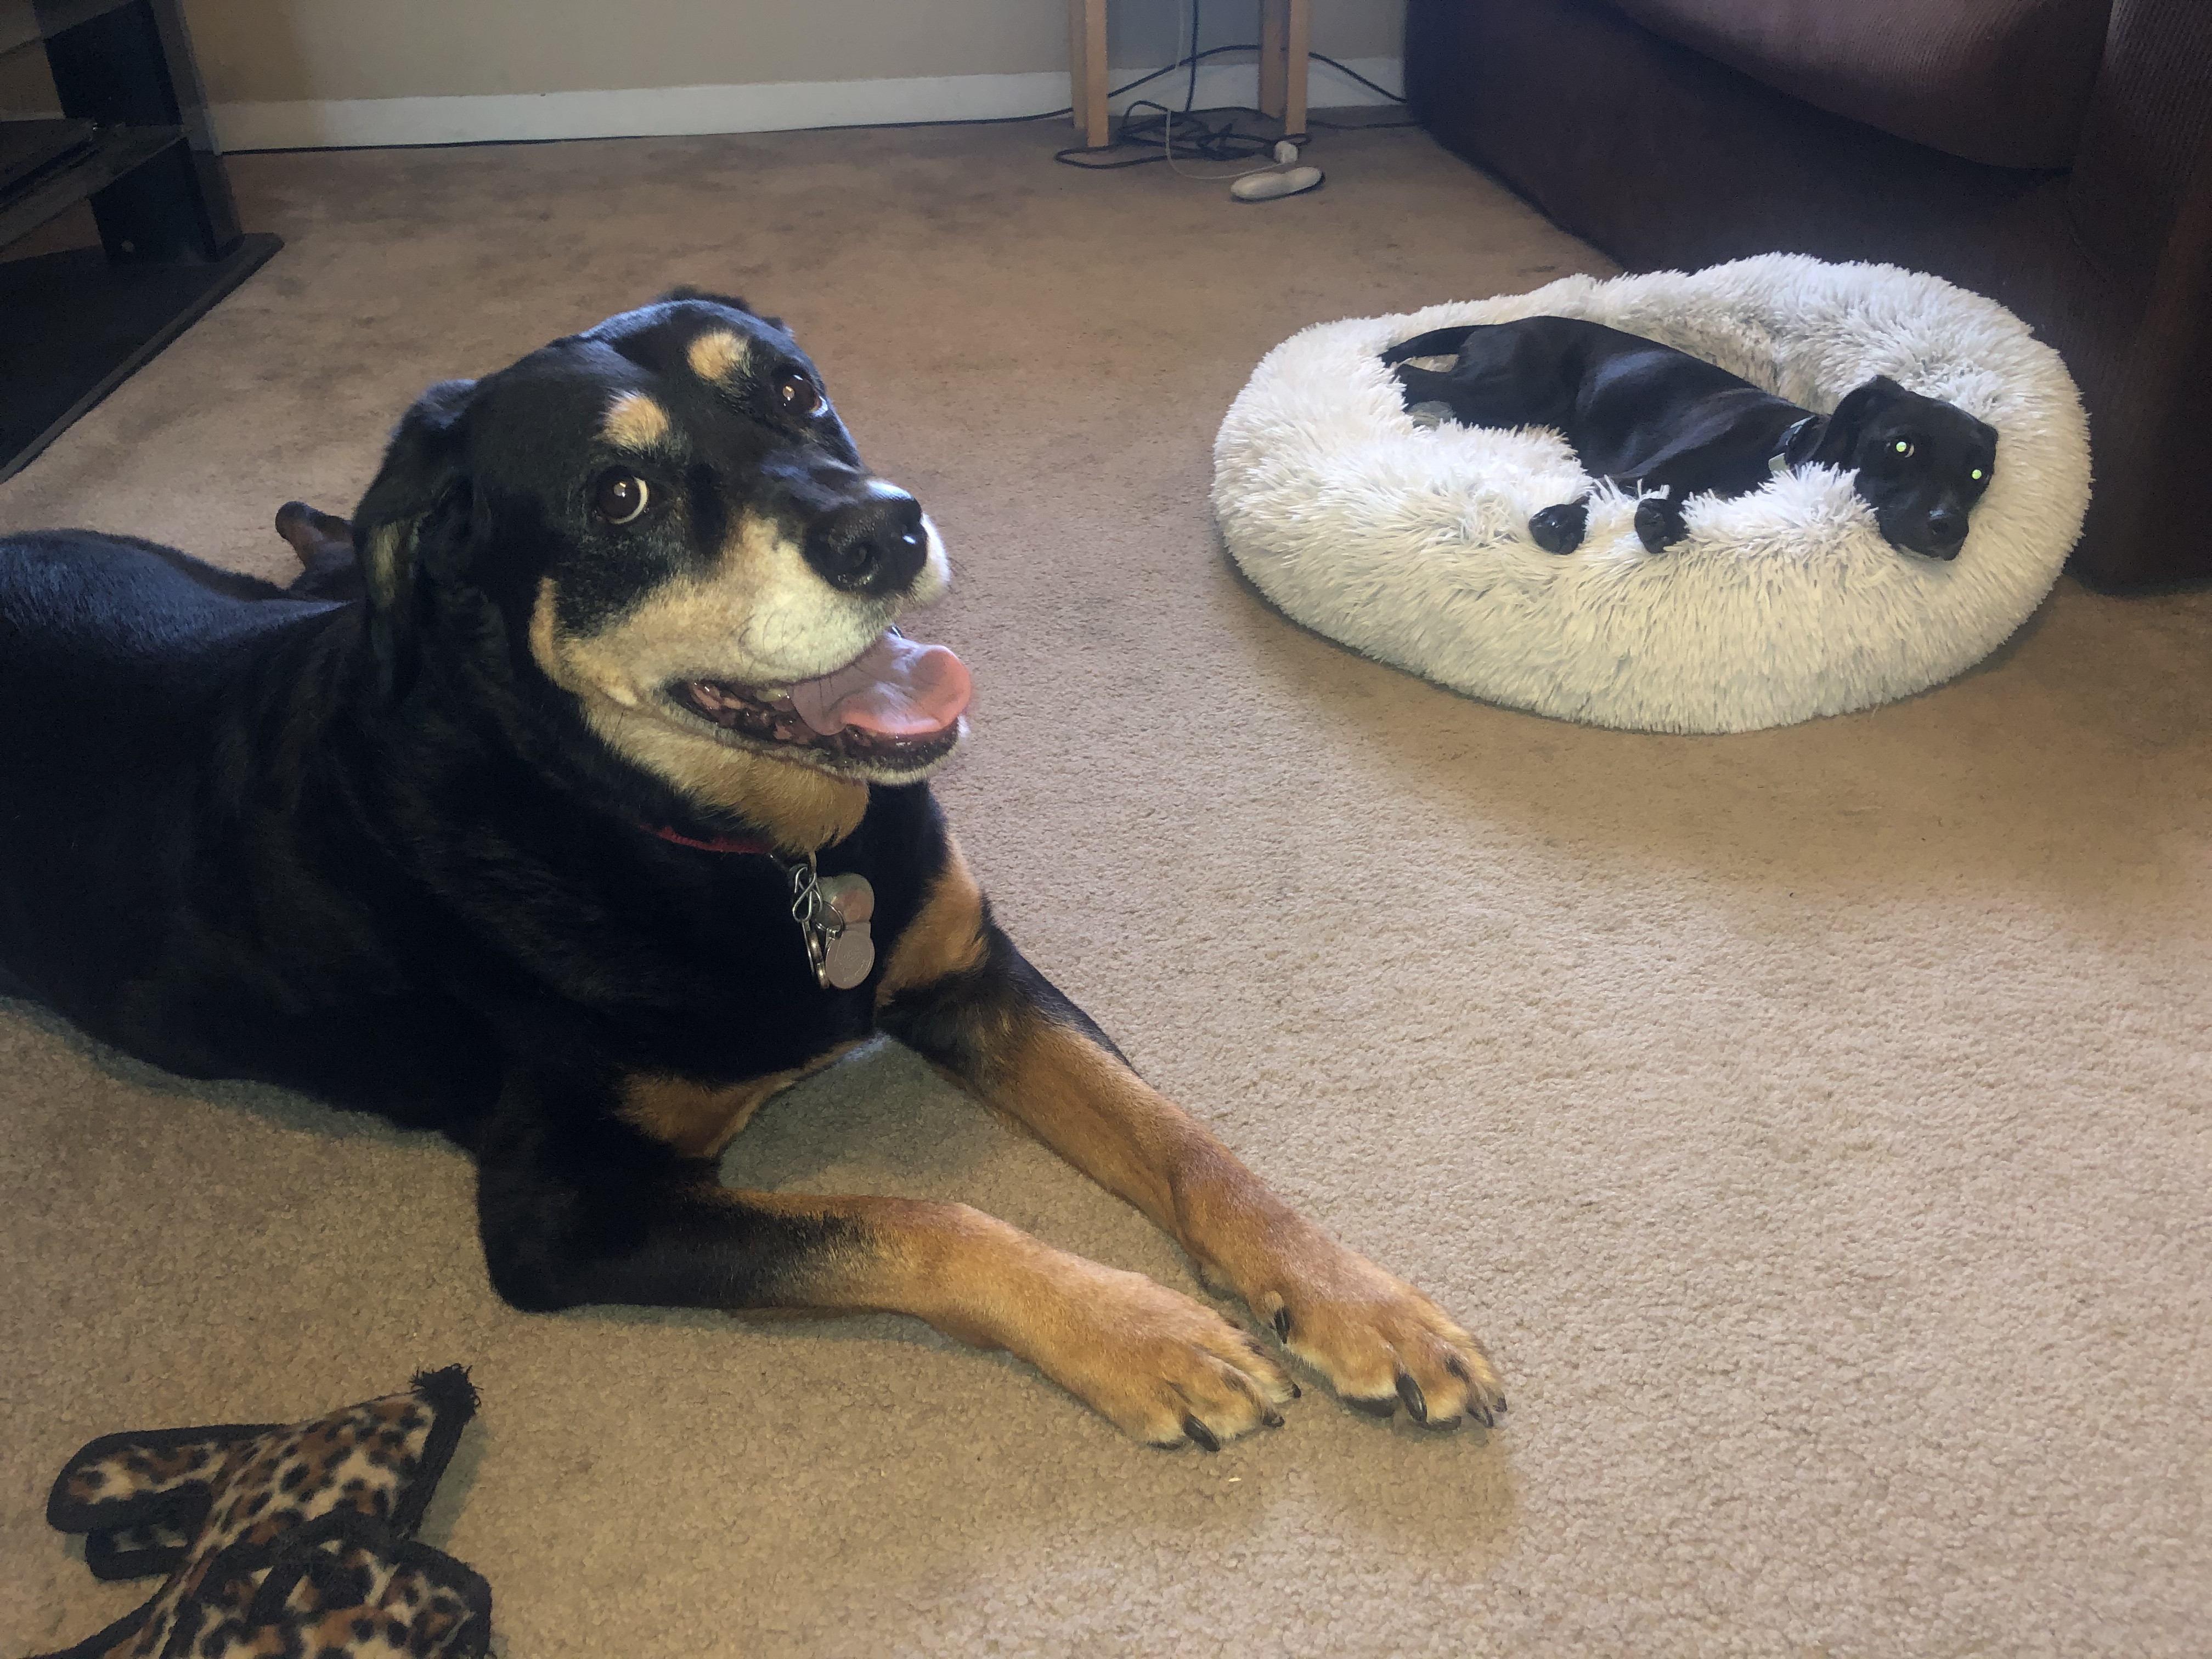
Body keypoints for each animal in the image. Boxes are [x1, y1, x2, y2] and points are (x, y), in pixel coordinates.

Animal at [0, 291, 1503, 1447]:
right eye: (620, 496)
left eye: (793, 388)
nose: (886, 527)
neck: (734, 840)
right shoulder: (563, 1212)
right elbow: (918, 1216)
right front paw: (1145, 1334)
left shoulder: (968, 971)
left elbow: (1186, 1141)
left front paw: (1360, 1302)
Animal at [1382, 316, 1998, 559]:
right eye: (1902, 446)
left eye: (1977, 475)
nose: (1949, 527)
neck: (1781, 448)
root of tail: (1497, 325)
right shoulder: (1641, 472)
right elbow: (1604, 488)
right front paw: (1561, 520)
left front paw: (1665, 522)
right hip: (1511, 392)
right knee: (1410, 374)